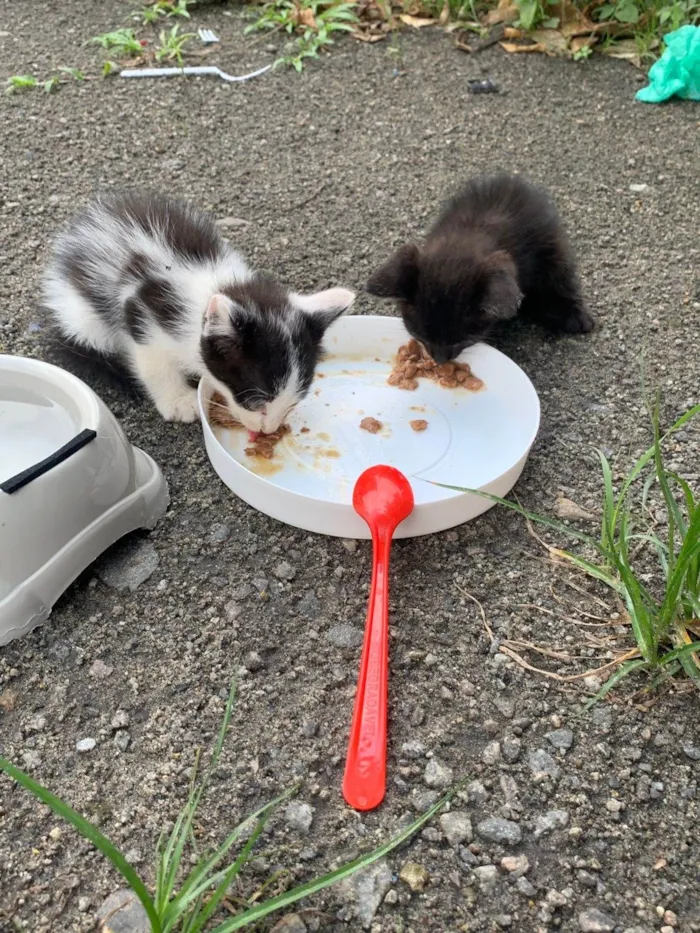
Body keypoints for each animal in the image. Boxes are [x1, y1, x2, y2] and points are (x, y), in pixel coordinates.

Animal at [42, 196, 356, 434]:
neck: (217, 284)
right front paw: (178, 400)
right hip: (82, 316)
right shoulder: (140, 310)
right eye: (256, 402)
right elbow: (152, 362)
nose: (268, 430)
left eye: (293, 402)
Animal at [366, 171, 596, 364]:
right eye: (420, 336)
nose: (440, 361)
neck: (472, 231)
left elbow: (559, 284)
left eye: (463, 341)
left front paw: (573, 315)